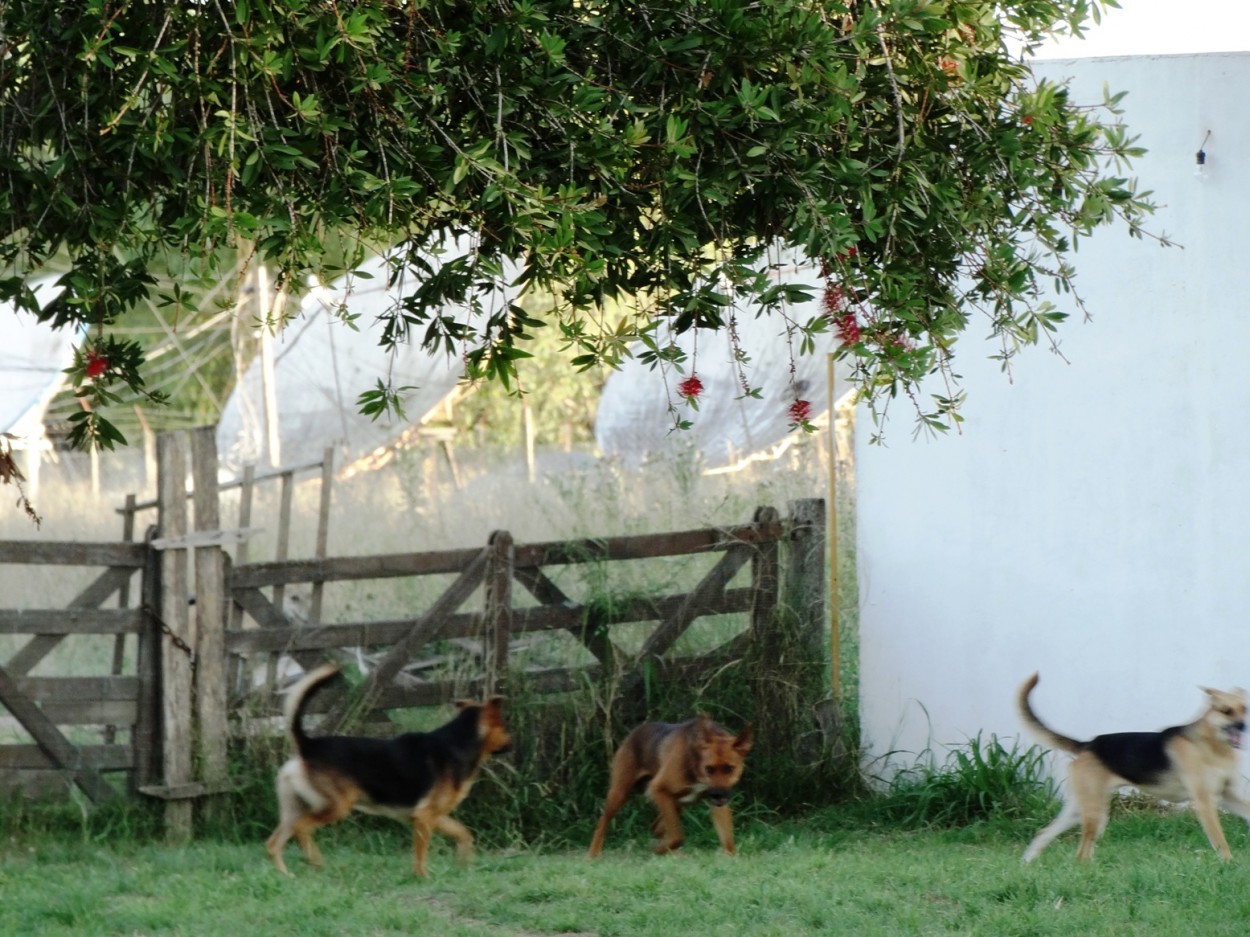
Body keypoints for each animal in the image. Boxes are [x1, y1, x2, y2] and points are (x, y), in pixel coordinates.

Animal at [268, 664, 512, 879]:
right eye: (505, 728)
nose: (512, 743)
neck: (460, 741)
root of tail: (309, 746)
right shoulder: (423, 817)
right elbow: (420, 854)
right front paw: (422, 876)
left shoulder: (435, 816)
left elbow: (463, 833)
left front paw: (463, 864)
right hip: (335, 807)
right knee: (301, 828)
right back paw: (315, 861)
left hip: (294, 809)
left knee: (273, 843)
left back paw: (286, 875)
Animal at [585, 714, 750, 864]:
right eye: (708, 768)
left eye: (729, 769)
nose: (717, 794)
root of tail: (635, 732)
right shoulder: (659, 788)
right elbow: (677, 837)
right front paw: (659, 850)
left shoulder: (717, 804)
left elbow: (727, 840)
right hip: (620, 793)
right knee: (602, 822)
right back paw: (593, 853)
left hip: (678, 803)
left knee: (656, 827)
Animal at [1015, 674, 1250, 864]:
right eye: (1226, 711)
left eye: (1244, 709)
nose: (1243, 726)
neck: (1210, 744)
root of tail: (1087, 745)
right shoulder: (1205, 803)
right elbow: (1220, 841)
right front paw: (1228, 863)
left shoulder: (1227, 795)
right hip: (1096, 813)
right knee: (1081, 854)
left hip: (1079, 809)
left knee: (1045, 833)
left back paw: (1028, 862)